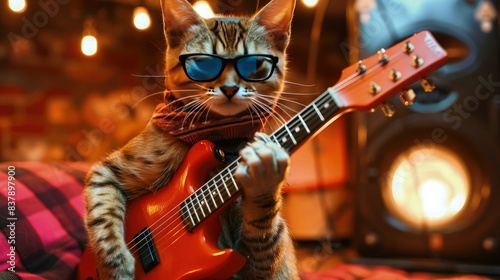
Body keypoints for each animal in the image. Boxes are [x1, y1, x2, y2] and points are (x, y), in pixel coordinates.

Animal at [84, 0, 298, 278]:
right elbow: (102, 215)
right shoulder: (107, 171)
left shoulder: (258, 263)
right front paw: (115, 265)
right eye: (203, 65)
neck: (219, 135)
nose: (230, 89)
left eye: (255, 66)